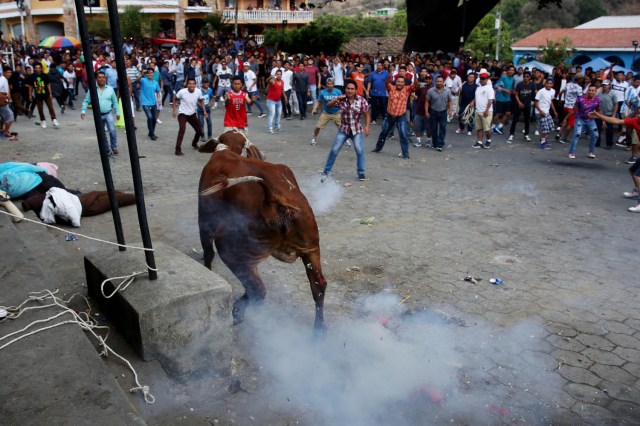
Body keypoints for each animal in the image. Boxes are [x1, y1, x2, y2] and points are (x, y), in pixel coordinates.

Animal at [198, 141, 328, 332]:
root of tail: (276, 201)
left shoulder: (205, 219)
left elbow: (207, 252)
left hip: (232, 249)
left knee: (257, 289)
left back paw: (236, 312)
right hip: (311, 248)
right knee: (319, 286)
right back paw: (319, 331)